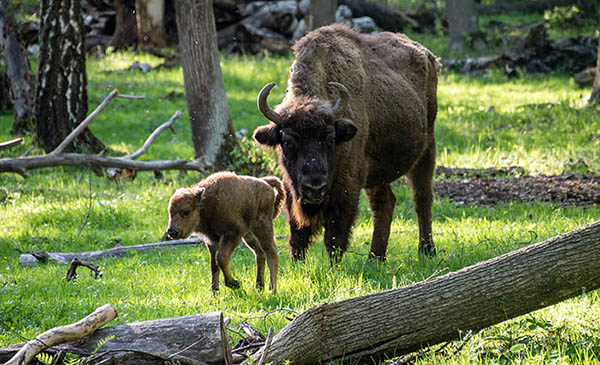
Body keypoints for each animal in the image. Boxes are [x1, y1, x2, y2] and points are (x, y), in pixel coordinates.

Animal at [253, 23, 440, 262]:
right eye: (286, 141)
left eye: (330, 138)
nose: (314, 187)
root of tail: (428, 55)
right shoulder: (290, 187)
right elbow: (298, 234)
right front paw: (297, 264)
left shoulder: (347, 187)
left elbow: (334, 236)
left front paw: (335, 266)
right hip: (377, 171)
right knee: (385, 203)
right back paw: (374, 258)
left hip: (427, 148)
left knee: (422, 198)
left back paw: (426, 250)